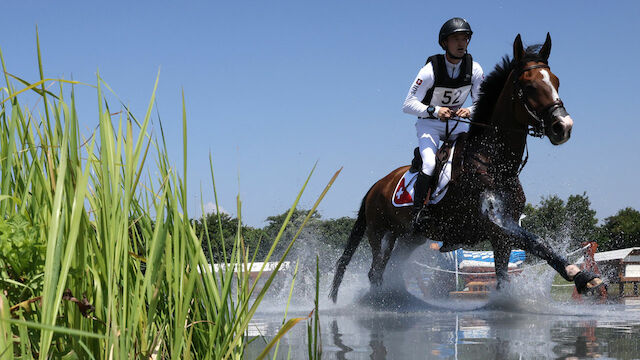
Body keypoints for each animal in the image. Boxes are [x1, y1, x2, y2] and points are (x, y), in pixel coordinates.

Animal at [330, 33, 604, 304]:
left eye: (556, 81)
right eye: (529, 86)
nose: (563, 126)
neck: (494, 164)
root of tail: (377, 185)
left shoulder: (501, 236)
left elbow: (507, 273)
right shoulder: (499, 224)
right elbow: (537, 241)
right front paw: (583, 277)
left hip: (410, 237)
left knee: (390, 268)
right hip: (380, 232)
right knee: (375, 271)